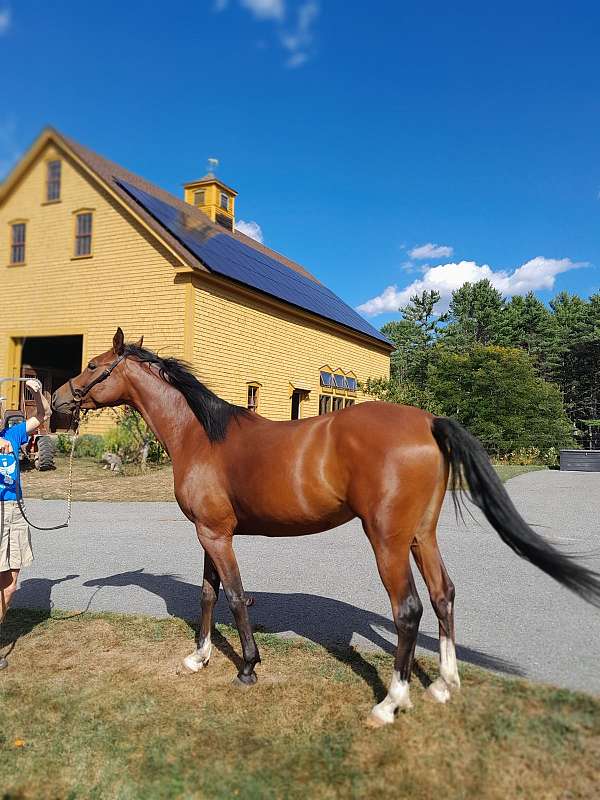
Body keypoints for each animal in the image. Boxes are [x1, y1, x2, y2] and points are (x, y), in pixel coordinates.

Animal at [52, 328, 600, 726]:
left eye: (94, 365)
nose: (58, 401)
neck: (202, 435)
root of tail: (427, 422)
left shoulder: (215, 535)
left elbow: (235, 597)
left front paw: (247, 667)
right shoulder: (210, 533)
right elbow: (208, 595)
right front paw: (198, 659)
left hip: (387, 541)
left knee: (408, 610)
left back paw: (390, 703)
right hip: (421, 535)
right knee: (443, 594)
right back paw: (445, 685)